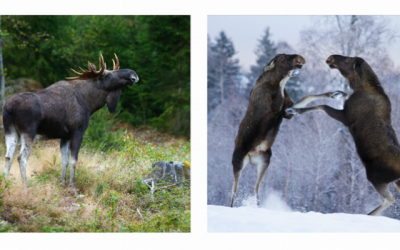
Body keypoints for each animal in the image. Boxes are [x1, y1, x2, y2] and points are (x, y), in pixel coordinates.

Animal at [3, 54, 139, 190]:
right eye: (108, 75)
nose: (133, 74)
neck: (89, 103)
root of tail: (9, 108)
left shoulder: (65, 136)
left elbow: (64, 161)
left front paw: (62, 183)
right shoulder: (77, 132)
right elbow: (74, 161)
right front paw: (72, 187)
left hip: (10, 131)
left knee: (8, 157)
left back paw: (6, 184)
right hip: (28, 132)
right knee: (21, 158)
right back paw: (25, 188)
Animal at [230, 53, 348, 207]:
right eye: (281, 58)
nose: (300, 58)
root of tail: (251, 156)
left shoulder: (286, 111)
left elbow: (308, 97)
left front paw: (336, 94)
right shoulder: (272, 112)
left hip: (264, 161)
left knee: (256, 187)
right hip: (238, 163)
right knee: (234, 190)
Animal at [288, 54, 400, 215]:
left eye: (348, 60)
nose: (331, 57)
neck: (358, 86)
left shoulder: (347, 117)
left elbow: (322, 106)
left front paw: (296, 109)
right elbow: (334, 97)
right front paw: (337, 94)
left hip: (375, 176)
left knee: (390, 199)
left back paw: (367, 215)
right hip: (396, 182)